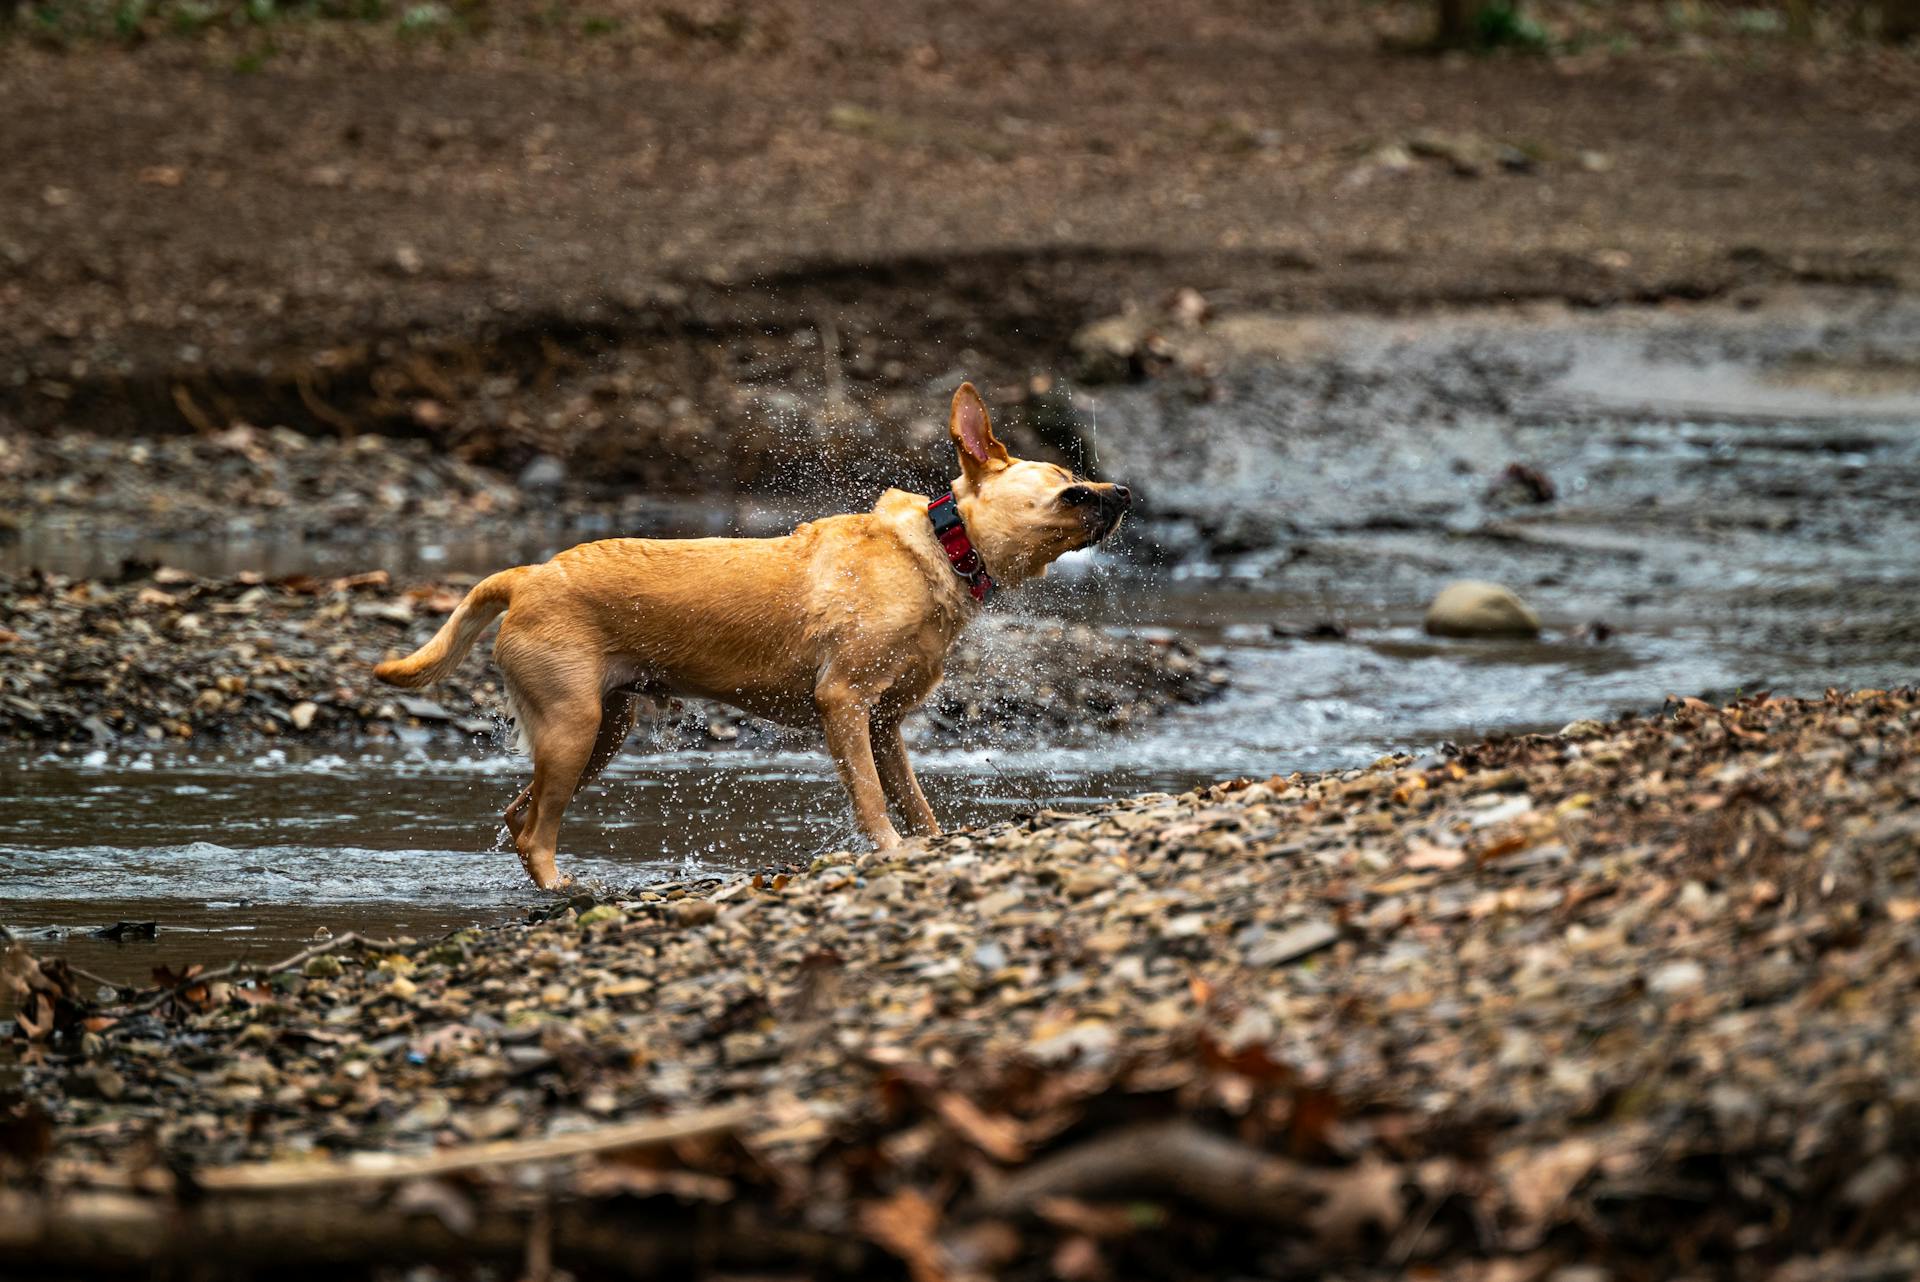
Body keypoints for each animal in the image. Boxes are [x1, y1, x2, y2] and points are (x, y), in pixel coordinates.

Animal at [370, 383, 1121, 890]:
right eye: (1069, 487)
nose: (1125, 493)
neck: (939, 547)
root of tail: (528, 574)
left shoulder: (885, 725)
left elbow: (915, 801)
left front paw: (932, 845)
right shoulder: (844, 704)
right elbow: (874, 800)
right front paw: (888, 850)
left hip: (601, 732)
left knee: (515, 814)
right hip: (572, 727)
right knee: (534, 832)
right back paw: (563, 887)